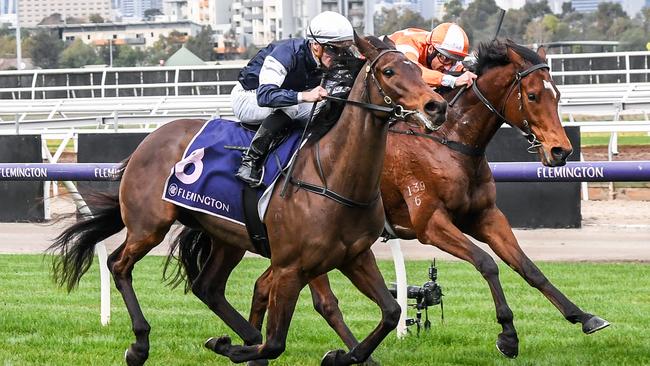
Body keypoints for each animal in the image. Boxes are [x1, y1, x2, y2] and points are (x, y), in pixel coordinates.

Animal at [48, 34, 448, 366]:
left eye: (419, 69)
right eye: (389, 70)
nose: (436, 106)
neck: (333, 176)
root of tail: (147, 141)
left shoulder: (355, 256)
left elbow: (391, 312)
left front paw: (341, 356)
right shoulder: (290, 268)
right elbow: (277, 342)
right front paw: (232, 347)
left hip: (228, 238)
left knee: (207, 287)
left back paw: (242, 336)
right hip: (149, 225)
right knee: (118, 265)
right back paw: (140, 345)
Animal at [237, 38, 608, 358]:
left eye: (556, 94)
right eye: (531, 95)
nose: (561, 151)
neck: (451, 142)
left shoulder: (485, 215)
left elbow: (527, 267)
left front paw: (583, 316)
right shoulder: (431, 224)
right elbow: (487, 263)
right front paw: (508, 334)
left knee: (264, 284)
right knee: (318, 300)